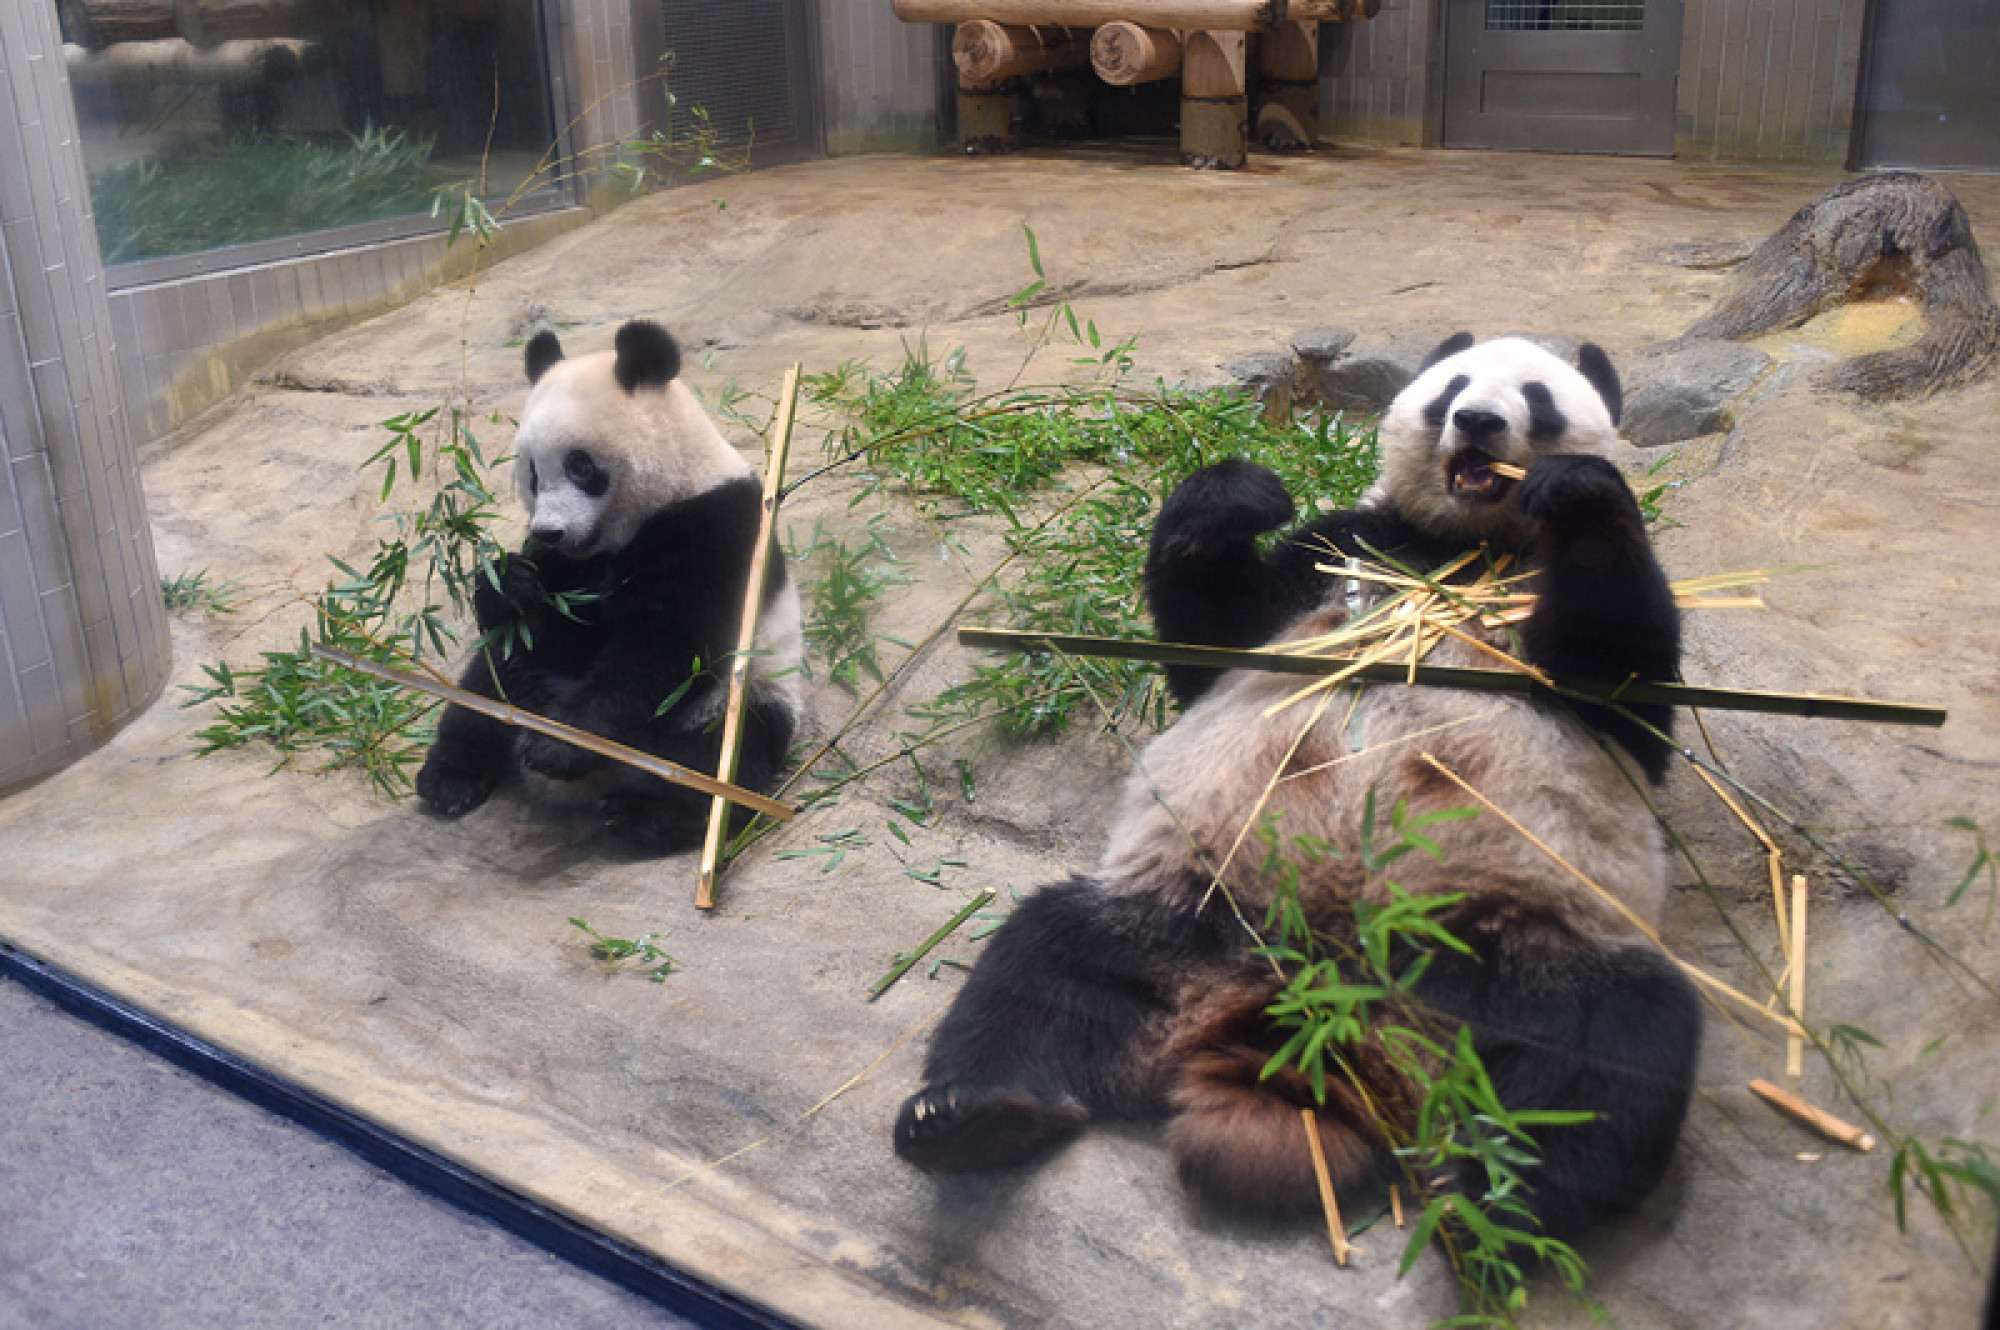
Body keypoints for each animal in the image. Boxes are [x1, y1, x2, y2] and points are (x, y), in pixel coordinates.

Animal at [416, 326, 804, 856]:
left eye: (580, 466)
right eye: (532, 473)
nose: (551, 530)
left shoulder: (714, 529)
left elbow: (661, 646)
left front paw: (557, 746)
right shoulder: (568, 568)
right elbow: (553, 631)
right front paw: (509, 584)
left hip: (742, 696)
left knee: (724, 758)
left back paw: (645, 815)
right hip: (519, 681)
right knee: (482, 691)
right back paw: (450, 779)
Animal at [900, 332, 1696, 1248]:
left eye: (1537, 396)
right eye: (1454, 386)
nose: (1479, 422)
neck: (1460, 549)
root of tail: (1311, 1015)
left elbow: (1625, 678)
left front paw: (1576, 494)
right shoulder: (1344, 547)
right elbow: (1211, 639)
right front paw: (1242, 492)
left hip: (1515, 950)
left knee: (1612, 1050)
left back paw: (1497, 1208)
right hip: (1191, 910)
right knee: (1040, 968)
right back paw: (969, 1116)